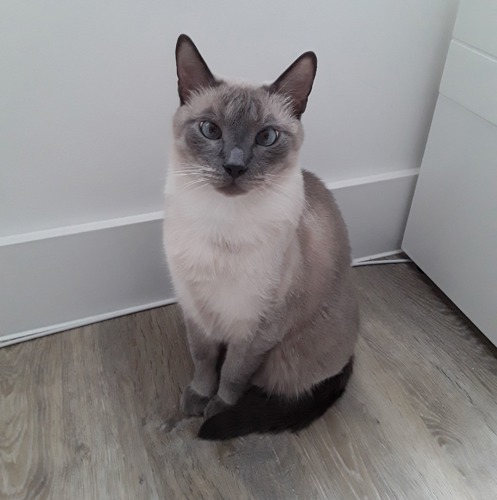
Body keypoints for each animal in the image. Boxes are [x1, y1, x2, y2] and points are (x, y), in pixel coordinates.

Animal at [165, 35, 358, 440]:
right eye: (211, 130)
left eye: (266, 137)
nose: (234, 166)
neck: (221, 223)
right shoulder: (195, 309)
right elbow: (203, 360)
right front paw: (198, 396)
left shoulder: (256, 329)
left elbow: (233, 375)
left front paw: (217, 409)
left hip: (286, 356)